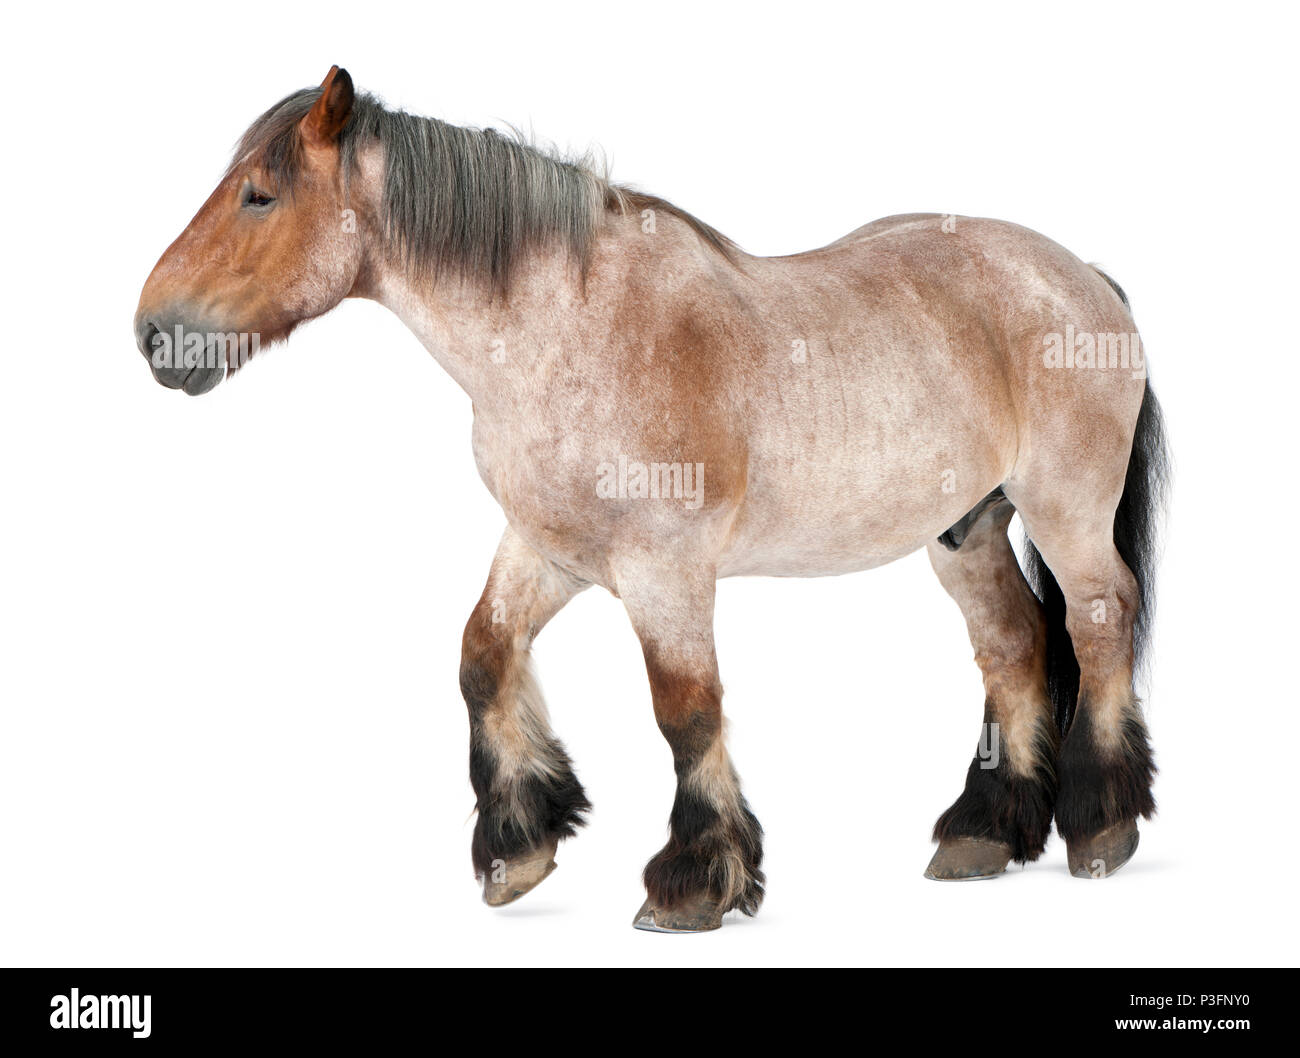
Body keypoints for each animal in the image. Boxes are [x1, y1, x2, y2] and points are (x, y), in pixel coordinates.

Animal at [131, 66, 1170, 930]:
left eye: (259, 196)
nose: (152, 334)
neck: (570, 333)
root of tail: (1083, 277)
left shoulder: (665, 570)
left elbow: (686, 709)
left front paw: (694, 881)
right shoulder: (546, 549)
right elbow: (481, 658)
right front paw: (520, 847)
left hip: (1065, 511)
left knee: (1097, 620)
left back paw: (1101, 825)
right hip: (967, 529)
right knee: (1013, 644)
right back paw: (985, 832)